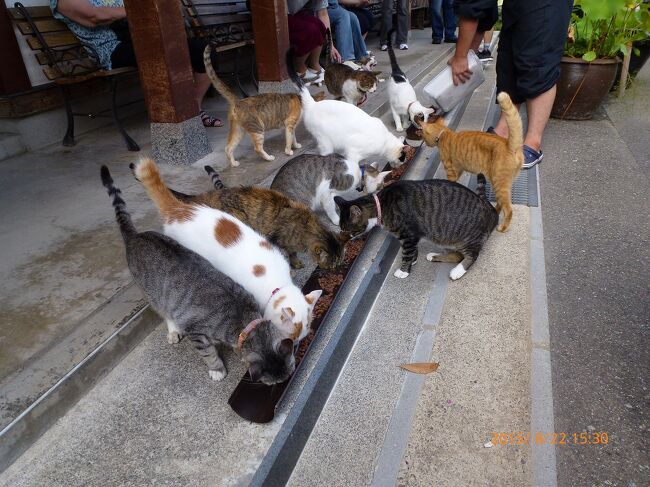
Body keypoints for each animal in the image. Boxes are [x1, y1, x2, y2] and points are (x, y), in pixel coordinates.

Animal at [99, 166, 294, 386]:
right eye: (275, 383)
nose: (283, 383)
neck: (243, 317)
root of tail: (135, 236)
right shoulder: (197, 333)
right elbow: (209, 354)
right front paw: (217, 370)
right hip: (153, 294)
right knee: (164, 311)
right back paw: (173, 330)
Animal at [135, 165, 350, 270]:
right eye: (332, 264)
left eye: (340, 262)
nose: (335, 270)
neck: (306, 226)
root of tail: (208, 195)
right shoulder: (276, 239)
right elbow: (289, 254)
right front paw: (293, 265)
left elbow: (292, 253)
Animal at [334, 175, 496, 282]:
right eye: (342, 228)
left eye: (348, 230)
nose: (343, 236)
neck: (382, 205)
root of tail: (490, 208)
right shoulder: (412, 236)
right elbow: (413, 251)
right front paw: (413, 261)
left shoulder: (408, 235)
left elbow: (406, 253)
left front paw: (404, 271)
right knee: (457, 255)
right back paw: (435, 256)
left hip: (467, 238)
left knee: (472, 255)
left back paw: (458, 271)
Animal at [420, 91, 520, 233]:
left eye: (423, 136)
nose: (424, 143)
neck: (444, 133)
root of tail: (508, 144)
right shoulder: (459, 169)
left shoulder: (450, 170)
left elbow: (451, 182)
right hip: (501, 183)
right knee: (501, 203)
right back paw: (495, 210)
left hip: (499, 183)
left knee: (508, 209)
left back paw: (503, 227)